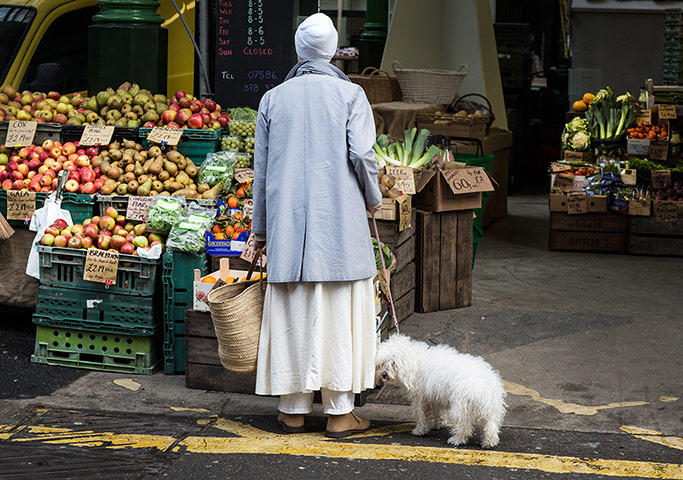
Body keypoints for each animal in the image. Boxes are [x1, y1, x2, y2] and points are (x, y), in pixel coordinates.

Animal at [374, 336, 508, 448]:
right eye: (383, 362)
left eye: (393, 362)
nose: (384, 374)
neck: (414, 362)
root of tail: (485, 385)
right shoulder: (435, 396)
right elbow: (438, 412)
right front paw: (438, 424)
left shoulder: (420, 399)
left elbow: (421, 415)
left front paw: (420, 430)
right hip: (489, 409)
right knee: (490, 426)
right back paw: (489, 442)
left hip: (461, 407)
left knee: (464, 427)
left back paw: (456, 440)